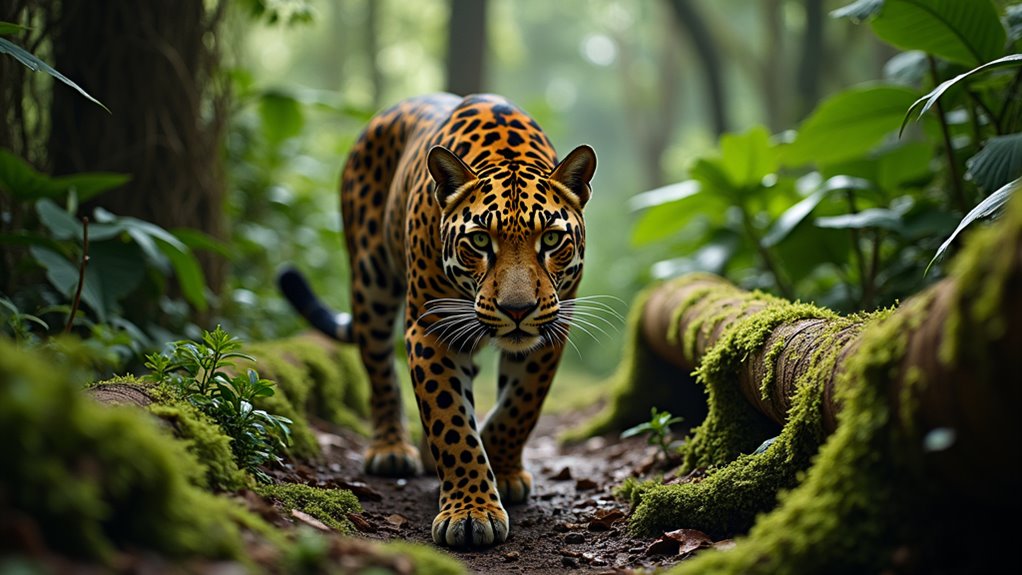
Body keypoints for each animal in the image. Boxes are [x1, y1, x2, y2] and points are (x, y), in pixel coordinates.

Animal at [279, 93, 596, 548]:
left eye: (552, 240)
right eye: (479, 241)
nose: (517, 310)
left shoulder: (552, 328)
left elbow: (518, 407)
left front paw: (502, 468)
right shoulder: (432, 328)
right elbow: (451, 422)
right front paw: (471, 510)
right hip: (371, 282)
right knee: (380, 372)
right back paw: (392, 450)